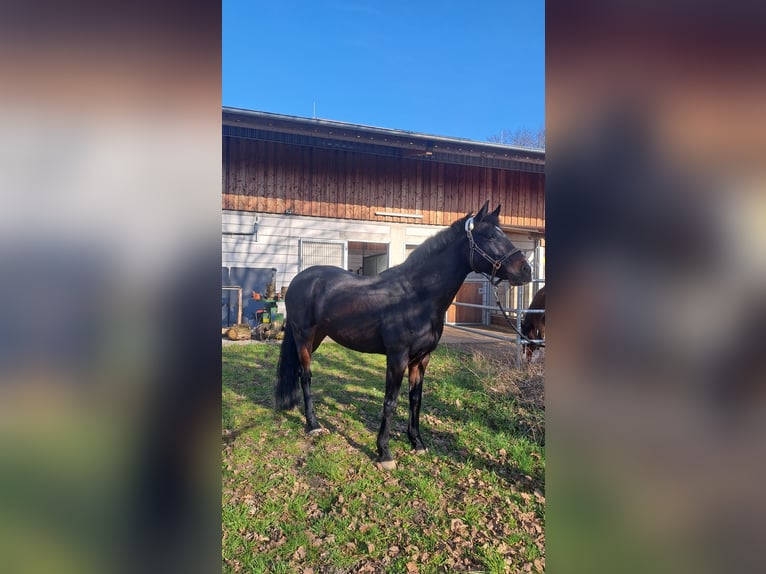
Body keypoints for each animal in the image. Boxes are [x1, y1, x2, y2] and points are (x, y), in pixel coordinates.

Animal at [274, 202, 532, 469]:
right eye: (490, 236)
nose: (526, 270)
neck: (416, 297)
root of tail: (298, 280)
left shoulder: (421, 359)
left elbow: (415, 399)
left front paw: (417, 442)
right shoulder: (397, 358)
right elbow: (390, 402)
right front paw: (384, 452)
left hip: (316, 338)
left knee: (298, 371)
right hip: (304, 337)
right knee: (306, 376)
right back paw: (313, 424)